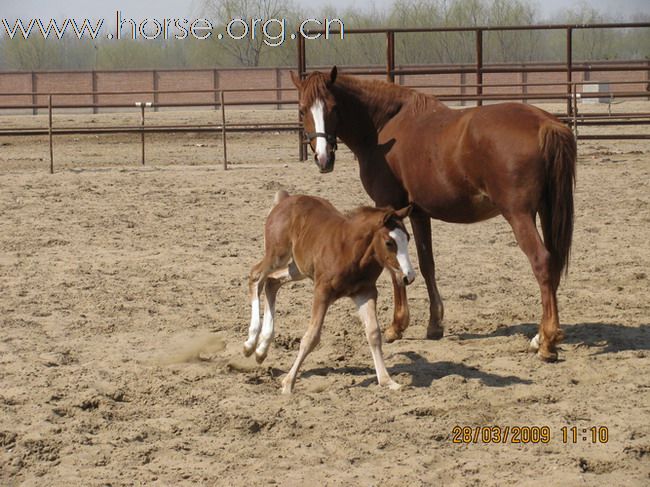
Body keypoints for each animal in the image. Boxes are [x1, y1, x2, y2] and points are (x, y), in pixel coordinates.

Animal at [243, 192, 416, 396]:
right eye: (389, 243)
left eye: (408, 238)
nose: (408, 276)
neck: (351, 251)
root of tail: (286, 198)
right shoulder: (322, 291)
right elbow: (311, 337)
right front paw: (288, 383)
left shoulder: (365, 292)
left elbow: (373, 333)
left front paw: (387, 381)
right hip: (277, 254)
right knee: (256, 276)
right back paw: (250, 343)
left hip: (298, 268)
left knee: (272, 282)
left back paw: (261, 349)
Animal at [292, 66, 576, 360]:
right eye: (302, 109)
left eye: (334, 108)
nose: (323, 158)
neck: (383, 128)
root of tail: (544, 123)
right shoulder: (419, 213)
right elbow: (427, 264)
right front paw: (434, 323)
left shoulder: (388, 208)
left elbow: (395, 268)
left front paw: (396, 327)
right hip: (546, 210)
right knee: (554, 263)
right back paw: (540, 335)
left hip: (519, 215)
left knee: (542, 261)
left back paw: (547, 342)